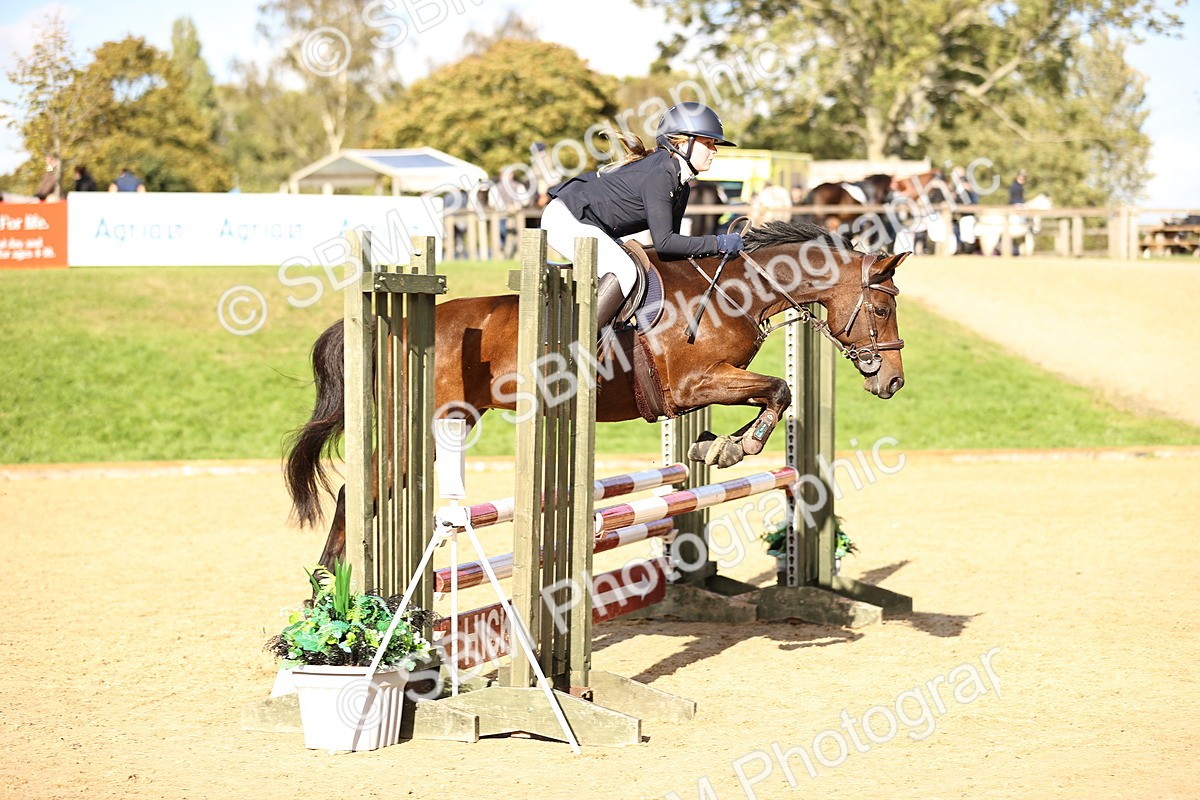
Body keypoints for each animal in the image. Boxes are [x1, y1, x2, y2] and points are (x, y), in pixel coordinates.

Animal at [284, 220, 908, 570]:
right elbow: (779, 389)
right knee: (358, 493)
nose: (893, 381)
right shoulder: (693, 383)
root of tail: (390, 324)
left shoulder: (706, 386)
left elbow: (773, 397)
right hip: (417, 426)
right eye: (882, 308)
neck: (734, 291)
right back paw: (333, 593)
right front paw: (733, 449)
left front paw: (712, 445)